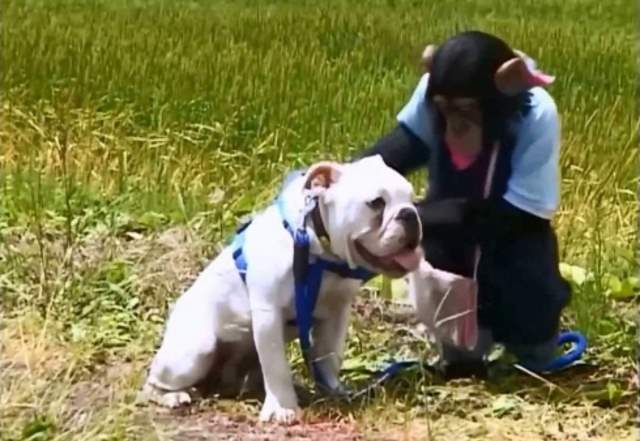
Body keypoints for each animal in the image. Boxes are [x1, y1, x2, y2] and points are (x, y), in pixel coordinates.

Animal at [358, 30, 572, 378]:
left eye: (468, 108)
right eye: (444, 108)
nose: (457, 128)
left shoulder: (543, 123)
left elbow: (507, 214)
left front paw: (406, 214)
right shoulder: (423, 99)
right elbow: (398, 147)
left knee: (527, 258)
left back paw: (536, 358)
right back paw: (461, 359)